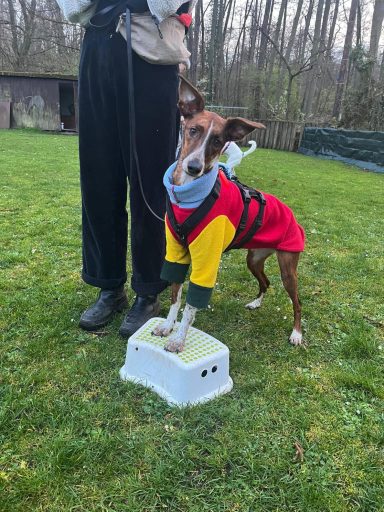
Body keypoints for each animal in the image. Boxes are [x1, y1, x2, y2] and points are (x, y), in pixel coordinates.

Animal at [152, 77, 304, 352]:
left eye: (218, 140)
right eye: (193, 130)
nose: (194, 167)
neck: (189, 196)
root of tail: (289, 211)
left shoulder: (207, 260)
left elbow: (190, 306)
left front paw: (179, 340)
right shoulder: (176, 254)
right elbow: (175, 296)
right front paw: (168, 326)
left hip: (288, 268)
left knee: (297, 302)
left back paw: (296, 333)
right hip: (254, 259)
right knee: (266, 282)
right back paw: (256, 303)